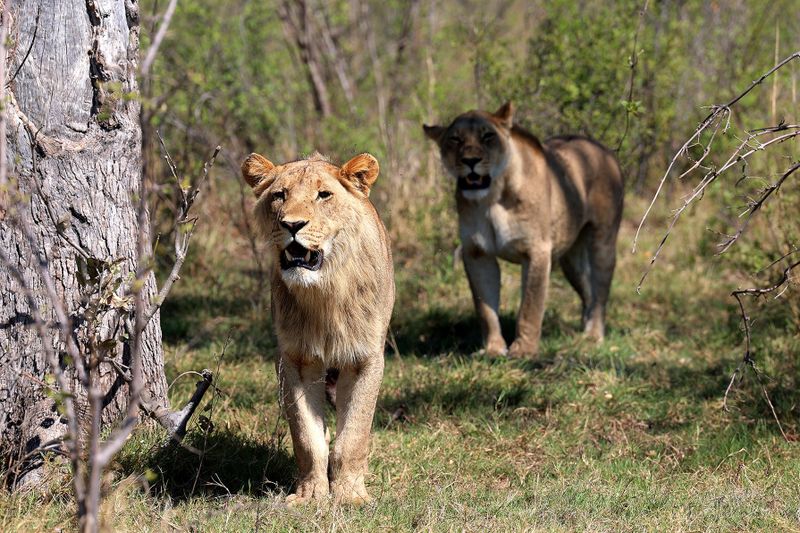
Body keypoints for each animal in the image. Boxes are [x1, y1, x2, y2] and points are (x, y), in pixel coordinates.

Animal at [241, 151, 394, 505]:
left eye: (323, 195)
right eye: (279, 195)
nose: (292, 225)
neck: (324, 293)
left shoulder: (365, 359)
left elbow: (353, 436)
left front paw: (350, 495)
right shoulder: (294, 360)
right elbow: (307, 437)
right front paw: (311, 496)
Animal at [424, 102, 624, 357]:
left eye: (488, 136)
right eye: (455, 139)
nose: (471, 160)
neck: (492, 198)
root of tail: (604, 149)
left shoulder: (536, 249)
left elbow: (530, 305)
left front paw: (523, 351)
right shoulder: (477, 253)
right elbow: (485, 308)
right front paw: (493, 349)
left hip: (603, 242)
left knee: (600, 292)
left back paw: (593, 335)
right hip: (571, 260)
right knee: (588, 291)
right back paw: (583, 328)